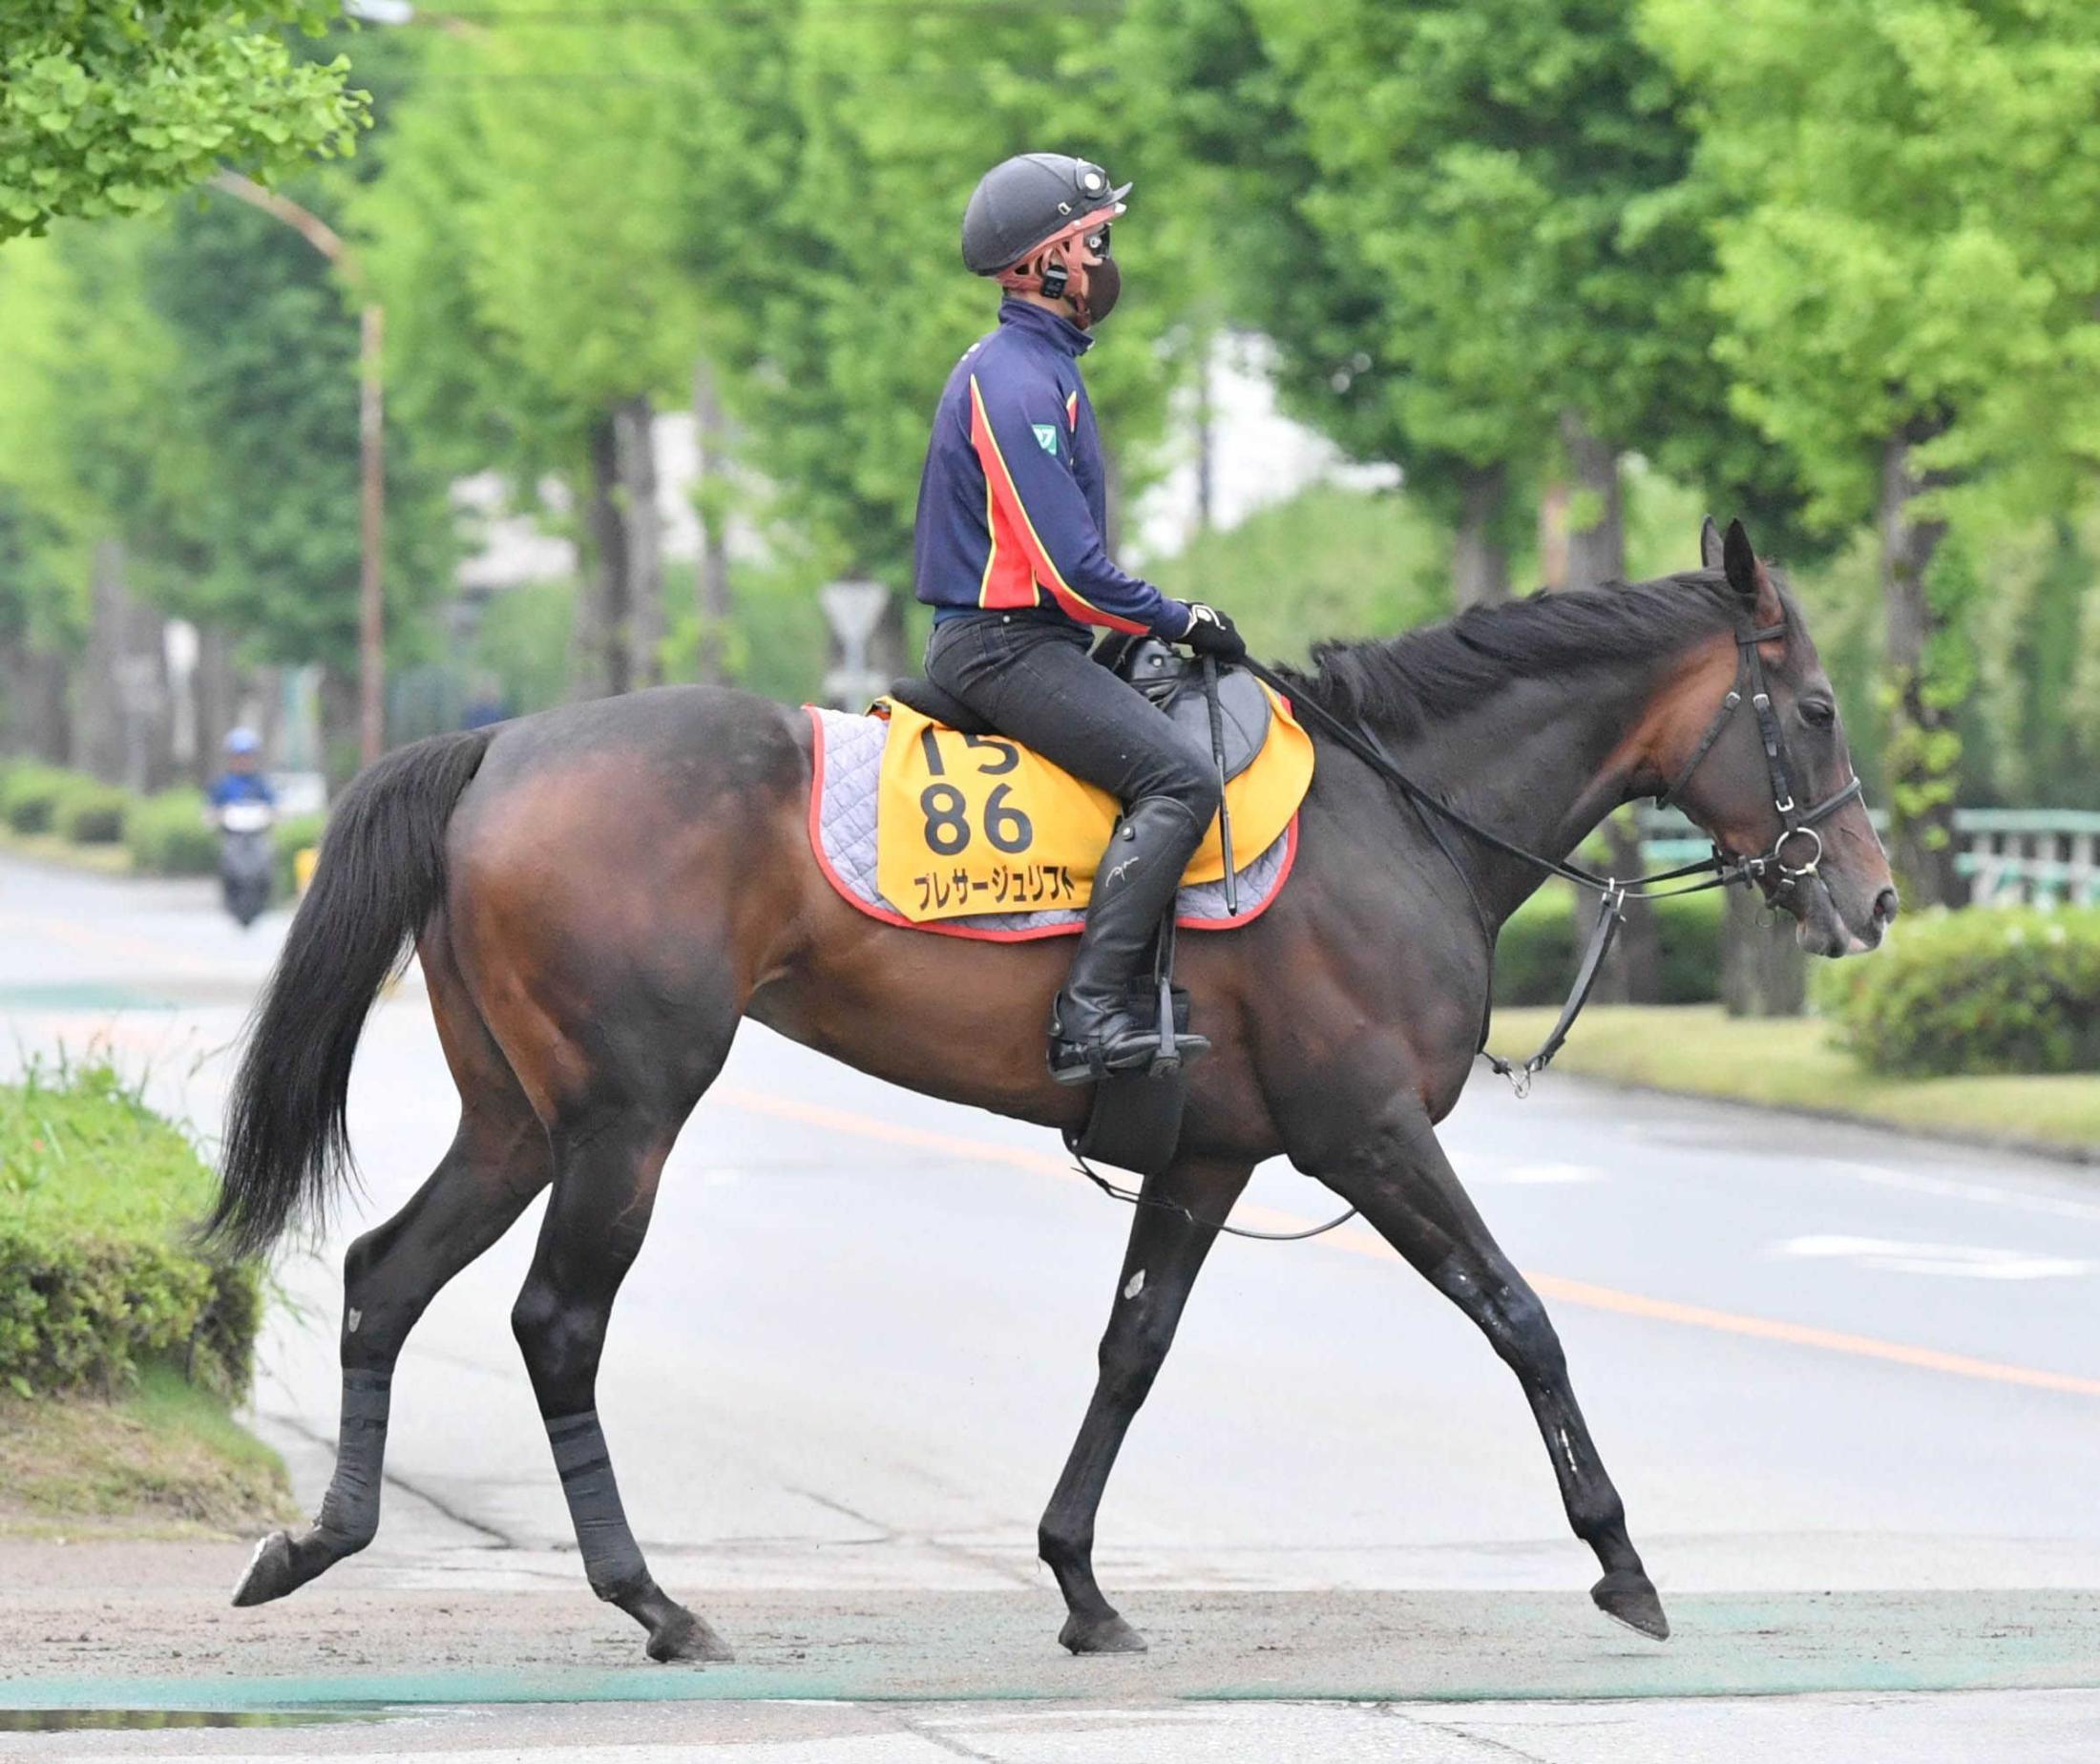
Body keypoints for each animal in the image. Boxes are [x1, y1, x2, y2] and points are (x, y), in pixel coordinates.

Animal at [217, 516, 1906, 1663]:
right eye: (1820, 708)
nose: (1875, 899)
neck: (1400, 814)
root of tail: (498, 747)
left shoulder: (1210, 1158)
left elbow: (1130, 1353)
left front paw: (1081, 1581)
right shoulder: (1367, 1137)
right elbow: (1522, 1319)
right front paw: (1622, 1560)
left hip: (518, 1119)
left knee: (384, 1276)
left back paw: (325, 1539)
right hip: (625, 1117)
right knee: (557, 1324)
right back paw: (652, 1599)